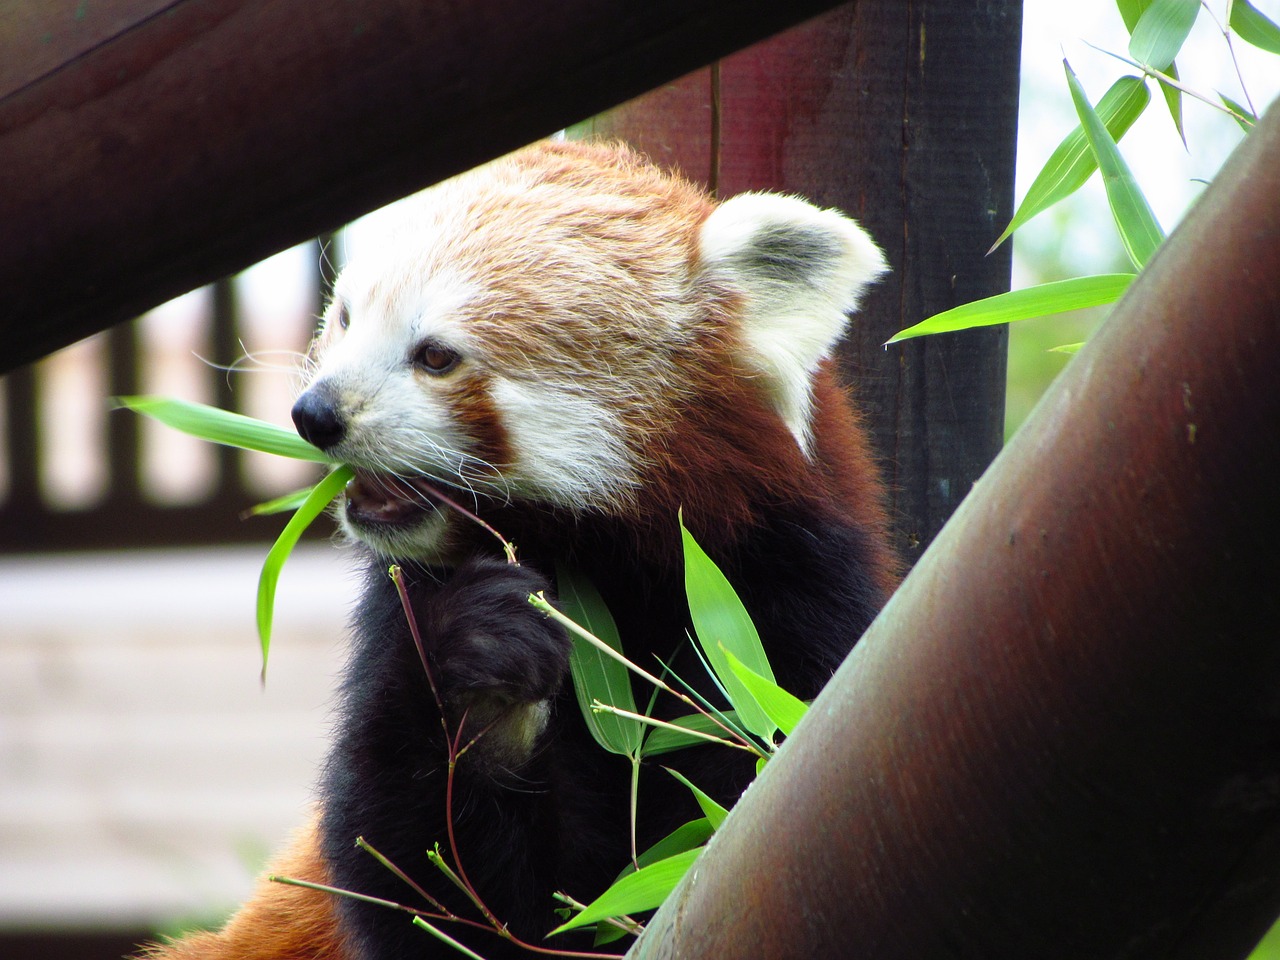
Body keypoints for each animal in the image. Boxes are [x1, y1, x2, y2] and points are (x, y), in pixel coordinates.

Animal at [137, 140, 901, 960]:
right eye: (346, 317)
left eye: (436, 356)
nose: (315, 414)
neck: (604, 577)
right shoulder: (401, 615)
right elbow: (424, 883)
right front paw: (483, 663)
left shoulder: (779, 592)